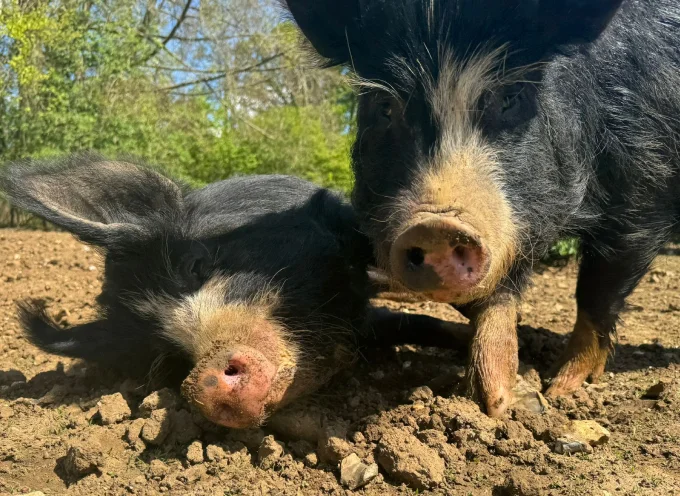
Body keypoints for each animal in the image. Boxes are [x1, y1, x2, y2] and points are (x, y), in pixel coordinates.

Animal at [283, 0, 680, 415]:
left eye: (510, 97)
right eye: (386, 107)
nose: (435, 228)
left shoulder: (644, 190)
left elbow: (597, 294)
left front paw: (560, 389)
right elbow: (497, 298)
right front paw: (497, 402)